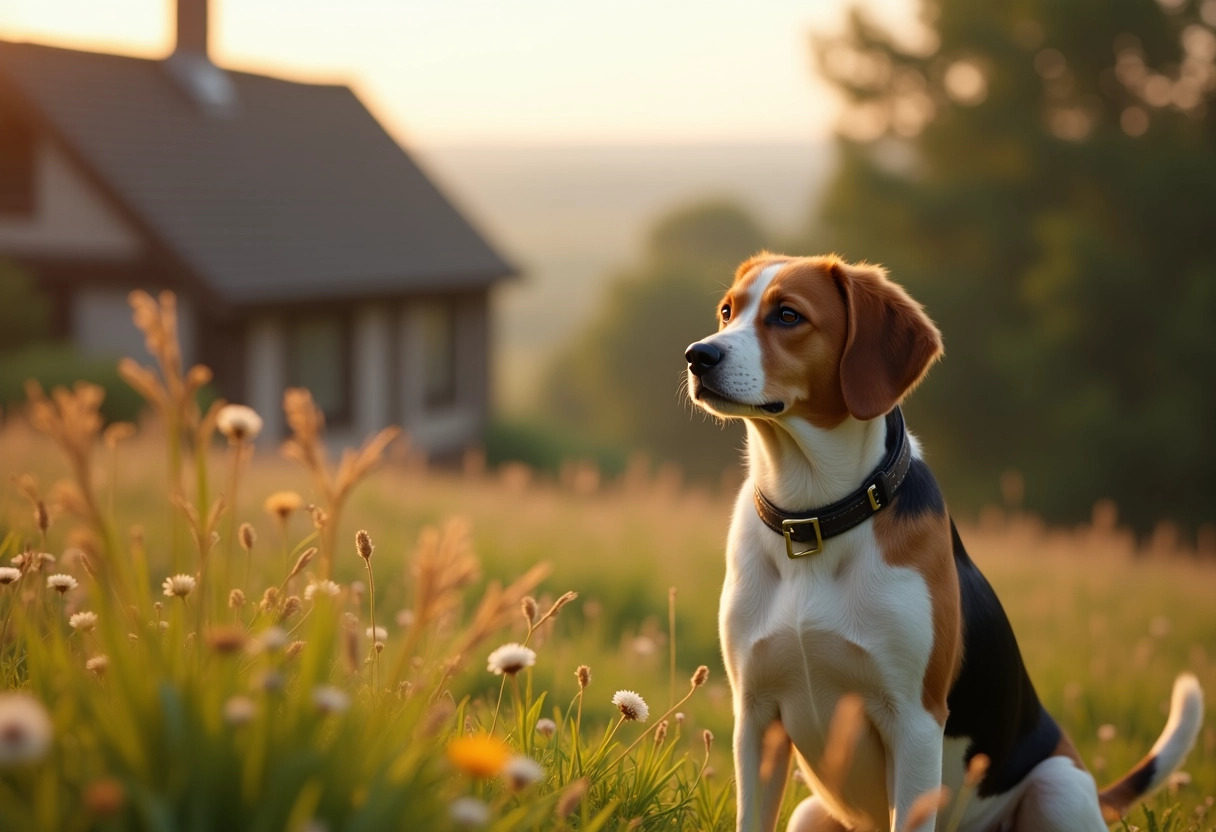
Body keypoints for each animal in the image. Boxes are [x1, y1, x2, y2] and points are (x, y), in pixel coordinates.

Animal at [685, 253, 1206, 832]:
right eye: (727, 311)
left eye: (788, 315)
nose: (698, 355)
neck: (813, 515)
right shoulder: (756, 719)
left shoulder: (914, 721)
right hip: (811, 813)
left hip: (1058, 787)